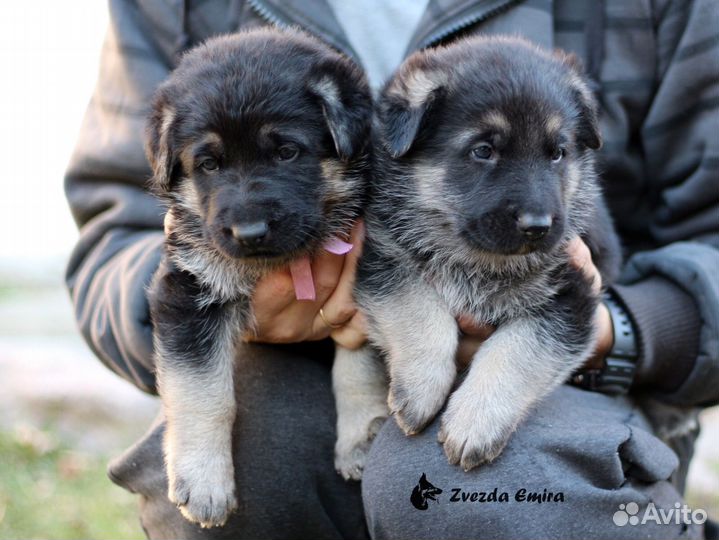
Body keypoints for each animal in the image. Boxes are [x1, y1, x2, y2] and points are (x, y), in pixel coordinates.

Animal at [146, 28, 372, 528]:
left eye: (287, 152)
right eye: (209, 164)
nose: (249, 233)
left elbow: (358, 366)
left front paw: (361, 436)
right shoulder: (189, 291)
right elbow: (201, 392)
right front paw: (204, 483)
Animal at [334, 35, 620, 476]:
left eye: (558, 153)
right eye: (483, 150)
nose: (537, 226)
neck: (478, 257)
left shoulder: (574, 296)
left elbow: (517, 351)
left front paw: (475, 422)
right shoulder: (385, 262)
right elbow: (419, 312)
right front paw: (420, 388)